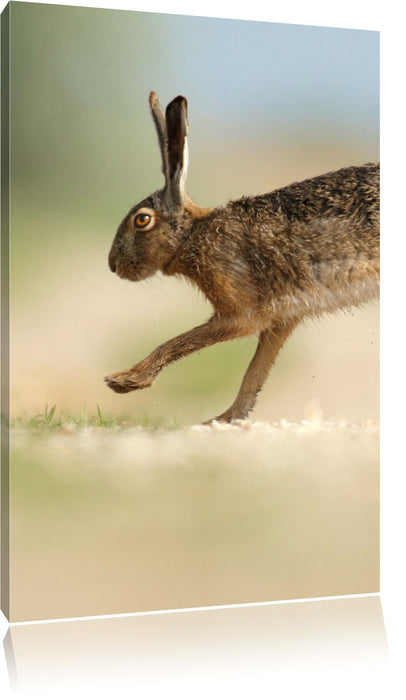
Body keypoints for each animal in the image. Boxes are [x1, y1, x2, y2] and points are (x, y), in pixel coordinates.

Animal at [105, 91, 379, 423]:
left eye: (142, 220)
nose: (113, 265)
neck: (191, 236)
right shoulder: (282, 319)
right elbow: (254, 372)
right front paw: (225, 418)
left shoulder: (240, 313)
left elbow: (182, 340)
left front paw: (125, 380)